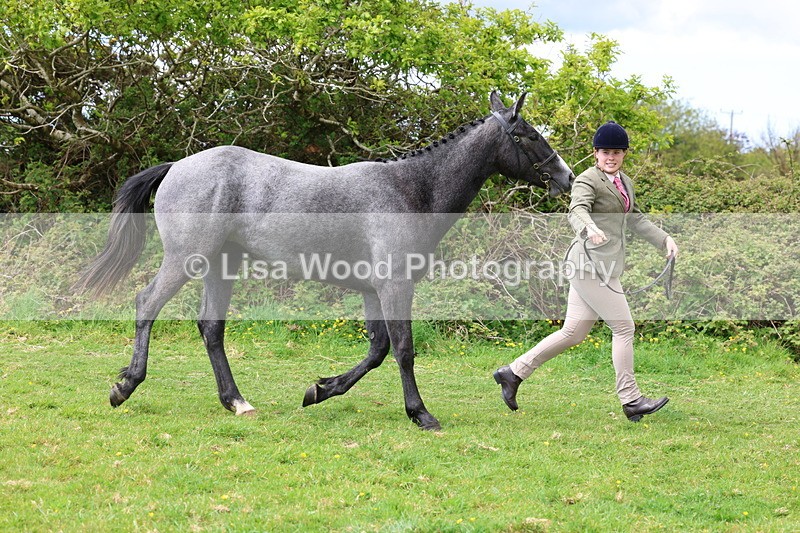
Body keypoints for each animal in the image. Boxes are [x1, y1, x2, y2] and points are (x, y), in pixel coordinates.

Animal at [77, 91, 574, 430]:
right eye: (527, 135)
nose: (566, 177)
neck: (411, 188)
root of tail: (178, 166)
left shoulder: (374, 290)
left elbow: (377, 351)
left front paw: (319, 390)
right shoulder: (395, 285)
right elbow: (404, 350)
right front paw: (421, 414)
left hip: (222, 265)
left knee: (211, 328)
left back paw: (237, 402)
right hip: (187, 259)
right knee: (147, 304)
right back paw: (125, 387)